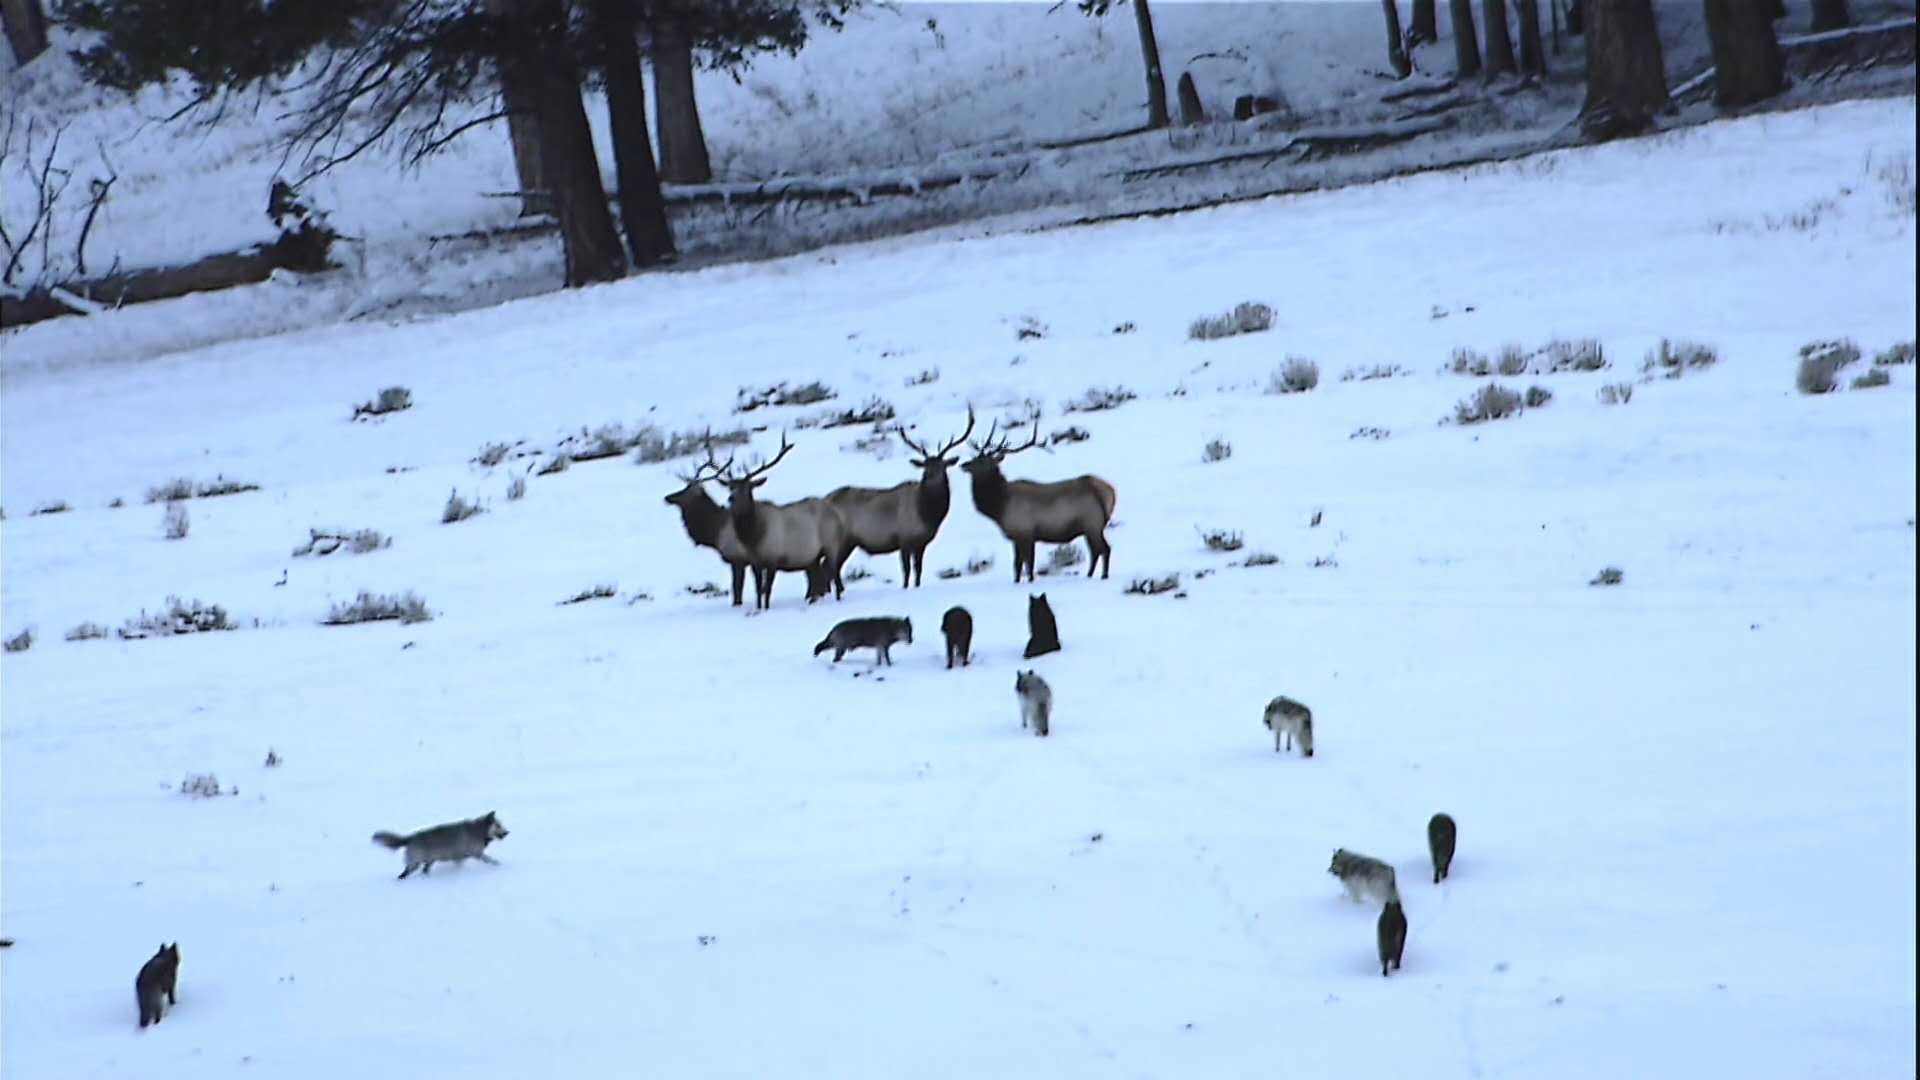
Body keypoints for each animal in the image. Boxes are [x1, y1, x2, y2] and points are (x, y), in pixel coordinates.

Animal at [370, 807, 510, 876]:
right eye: (498, 825)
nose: (507, 832)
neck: (479, 830)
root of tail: (410, 838)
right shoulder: (475, 853)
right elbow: (489, 859)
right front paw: (497, 864)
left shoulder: (460, 856)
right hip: (415, 863)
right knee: (405, 873)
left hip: (429, 861)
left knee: (424, 870)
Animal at [718, 432, 852, 611]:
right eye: (730, 487)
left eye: (748, 487)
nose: (731, 498)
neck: (753, 537)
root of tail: (837, 514)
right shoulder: (755, 563)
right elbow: (758, 590)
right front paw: (758, 608)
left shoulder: (773, 558)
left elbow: (767, 590)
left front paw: (766, 609)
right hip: (813, 556)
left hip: (831, 545)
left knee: (834, 573)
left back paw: (837, 599)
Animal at [825, 405, 975, 588]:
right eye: (924, 466)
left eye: (941, 466)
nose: (928, 476)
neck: (927, 514)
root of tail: (824, 500)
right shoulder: (904, 539)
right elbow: (907, 570)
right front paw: (905, 587)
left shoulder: (921, 543)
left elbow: (918, 570)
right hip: (841, 539)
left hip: (848, 542)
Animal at [967, 417, 1121, 580]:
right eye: (975, 458)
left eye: (981, 461)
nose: (964, 464)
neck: (999, 506)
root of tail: (1109, 491)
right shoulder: (1020, 537)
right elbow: (1019, 565)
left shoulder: (1025, 532)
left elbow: (1026, 564)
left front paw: (1028, 580)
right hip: (1093, 526)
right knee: (1097, 550)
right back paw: (1090, 575)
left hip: (1092, 523)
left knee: (1103, 549)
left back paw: (1102, 576)